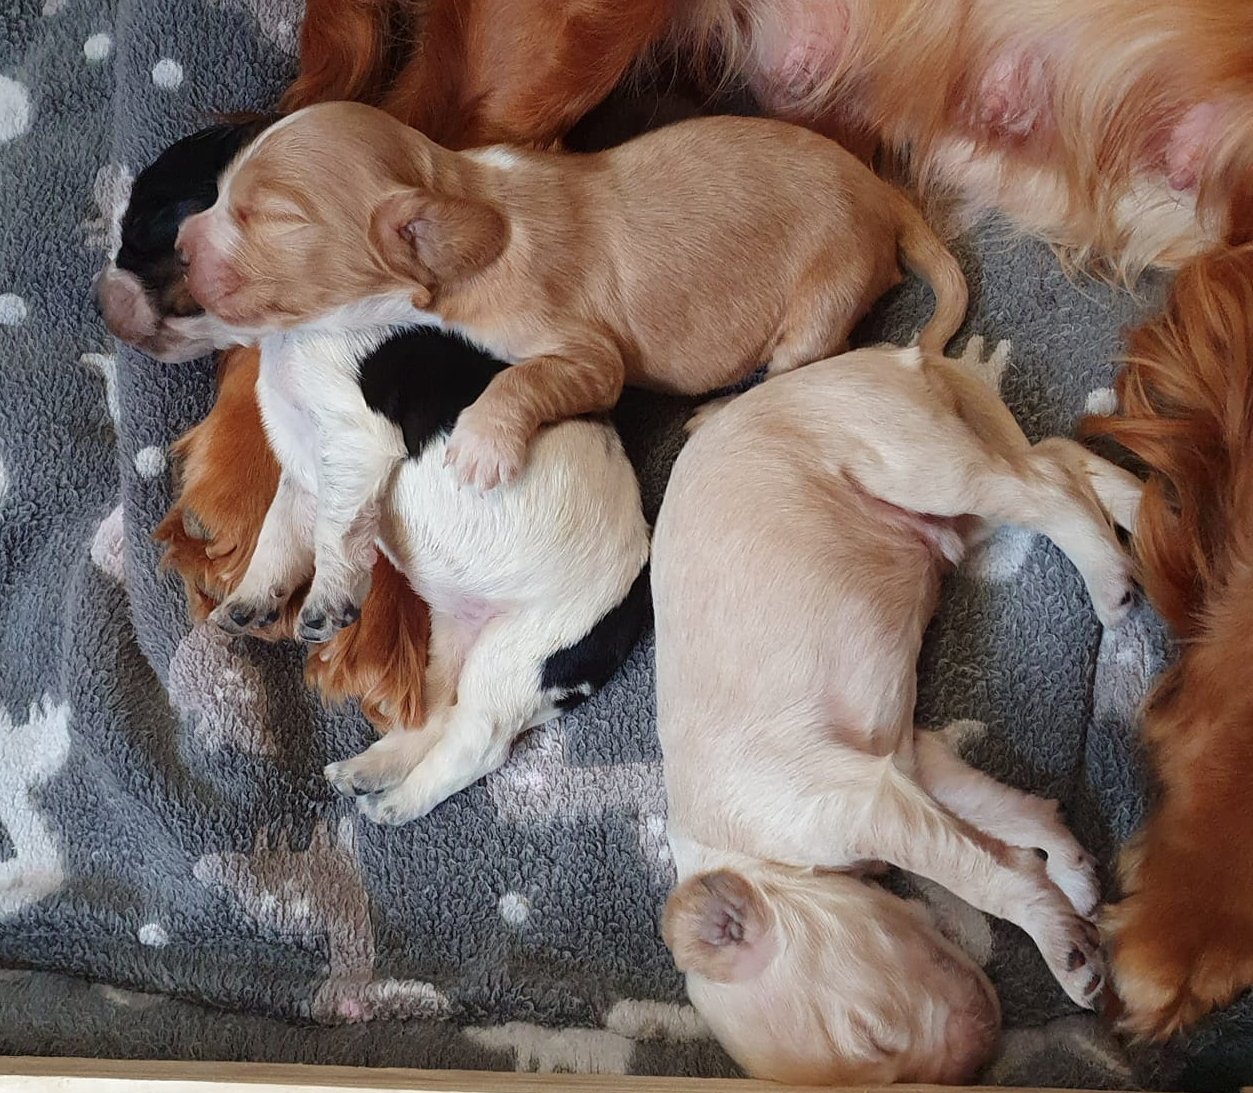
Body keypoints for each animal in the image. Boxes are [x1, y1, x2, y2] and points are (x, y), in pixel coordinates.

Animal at [172, 102, 967, 491]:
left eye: (275, 217)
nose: (179, 242)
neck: (465, 196)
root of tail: (882, 194)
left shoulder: (584, 349)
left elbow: (529, 376)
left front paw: (481, 446)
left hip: (823, 295)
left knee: (798, 366)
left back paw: (718, 412)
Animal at [651, 345, 1143, 1082]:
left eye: (871, 1035)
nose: (979, 1062)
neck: (751, 858)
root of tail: (891, 352)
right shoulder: (909, 762)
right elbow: (1009, 820)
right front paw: (1072, 875)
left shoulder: (860, 803)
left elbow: (980, 873)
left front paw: (1066, 951)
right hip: (953, 502)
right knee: (1056, 458)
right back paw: (1152, 508)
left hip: (919, 463)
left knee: (1047, 485)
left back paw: (1112, 578)